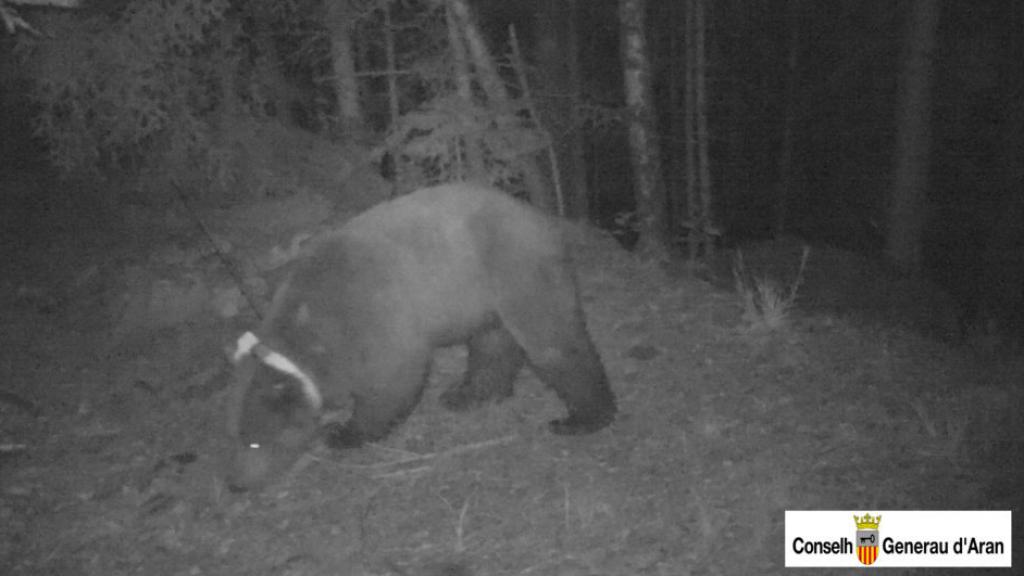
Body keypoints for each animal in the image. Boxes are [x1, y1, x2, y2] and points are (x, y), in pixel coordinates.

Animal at [225, 183, 615, 491]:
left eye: (256, 442)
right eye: (237, 436)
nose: (236, 484)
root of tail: (541, 217)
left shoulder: (374, 317)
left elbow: (393, 382)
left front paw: (345, 433)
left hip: (515, 269)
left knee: (552, 342)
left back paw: (582, 417)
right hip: (483, 296)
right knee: (493, 344)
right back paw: (468, 394)